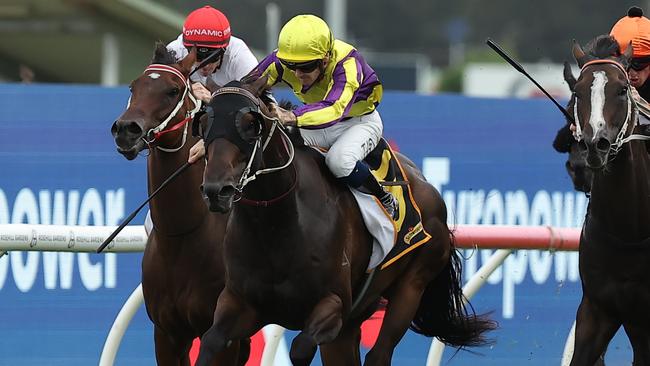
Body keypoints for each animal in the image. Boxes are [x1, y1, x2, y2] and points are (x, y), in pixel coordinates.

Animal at [110, 43, 247, 366]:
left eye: (172, 91)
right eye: (133, 86)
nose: (126, 129)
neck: (184, 235)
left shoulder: (223, 335)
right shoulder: (167, 333)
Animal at [195, 78, 494, 364]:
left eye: (250, 124)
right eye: (204, 123)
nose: (217, 190)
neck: (277, 226)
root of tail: (426, 184)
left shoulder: (334, 304)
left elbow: (301, 348)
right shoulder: (239, 303)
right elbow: (210, 343)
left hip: (412, 285)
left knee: (378, 354)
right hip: (355, 318)